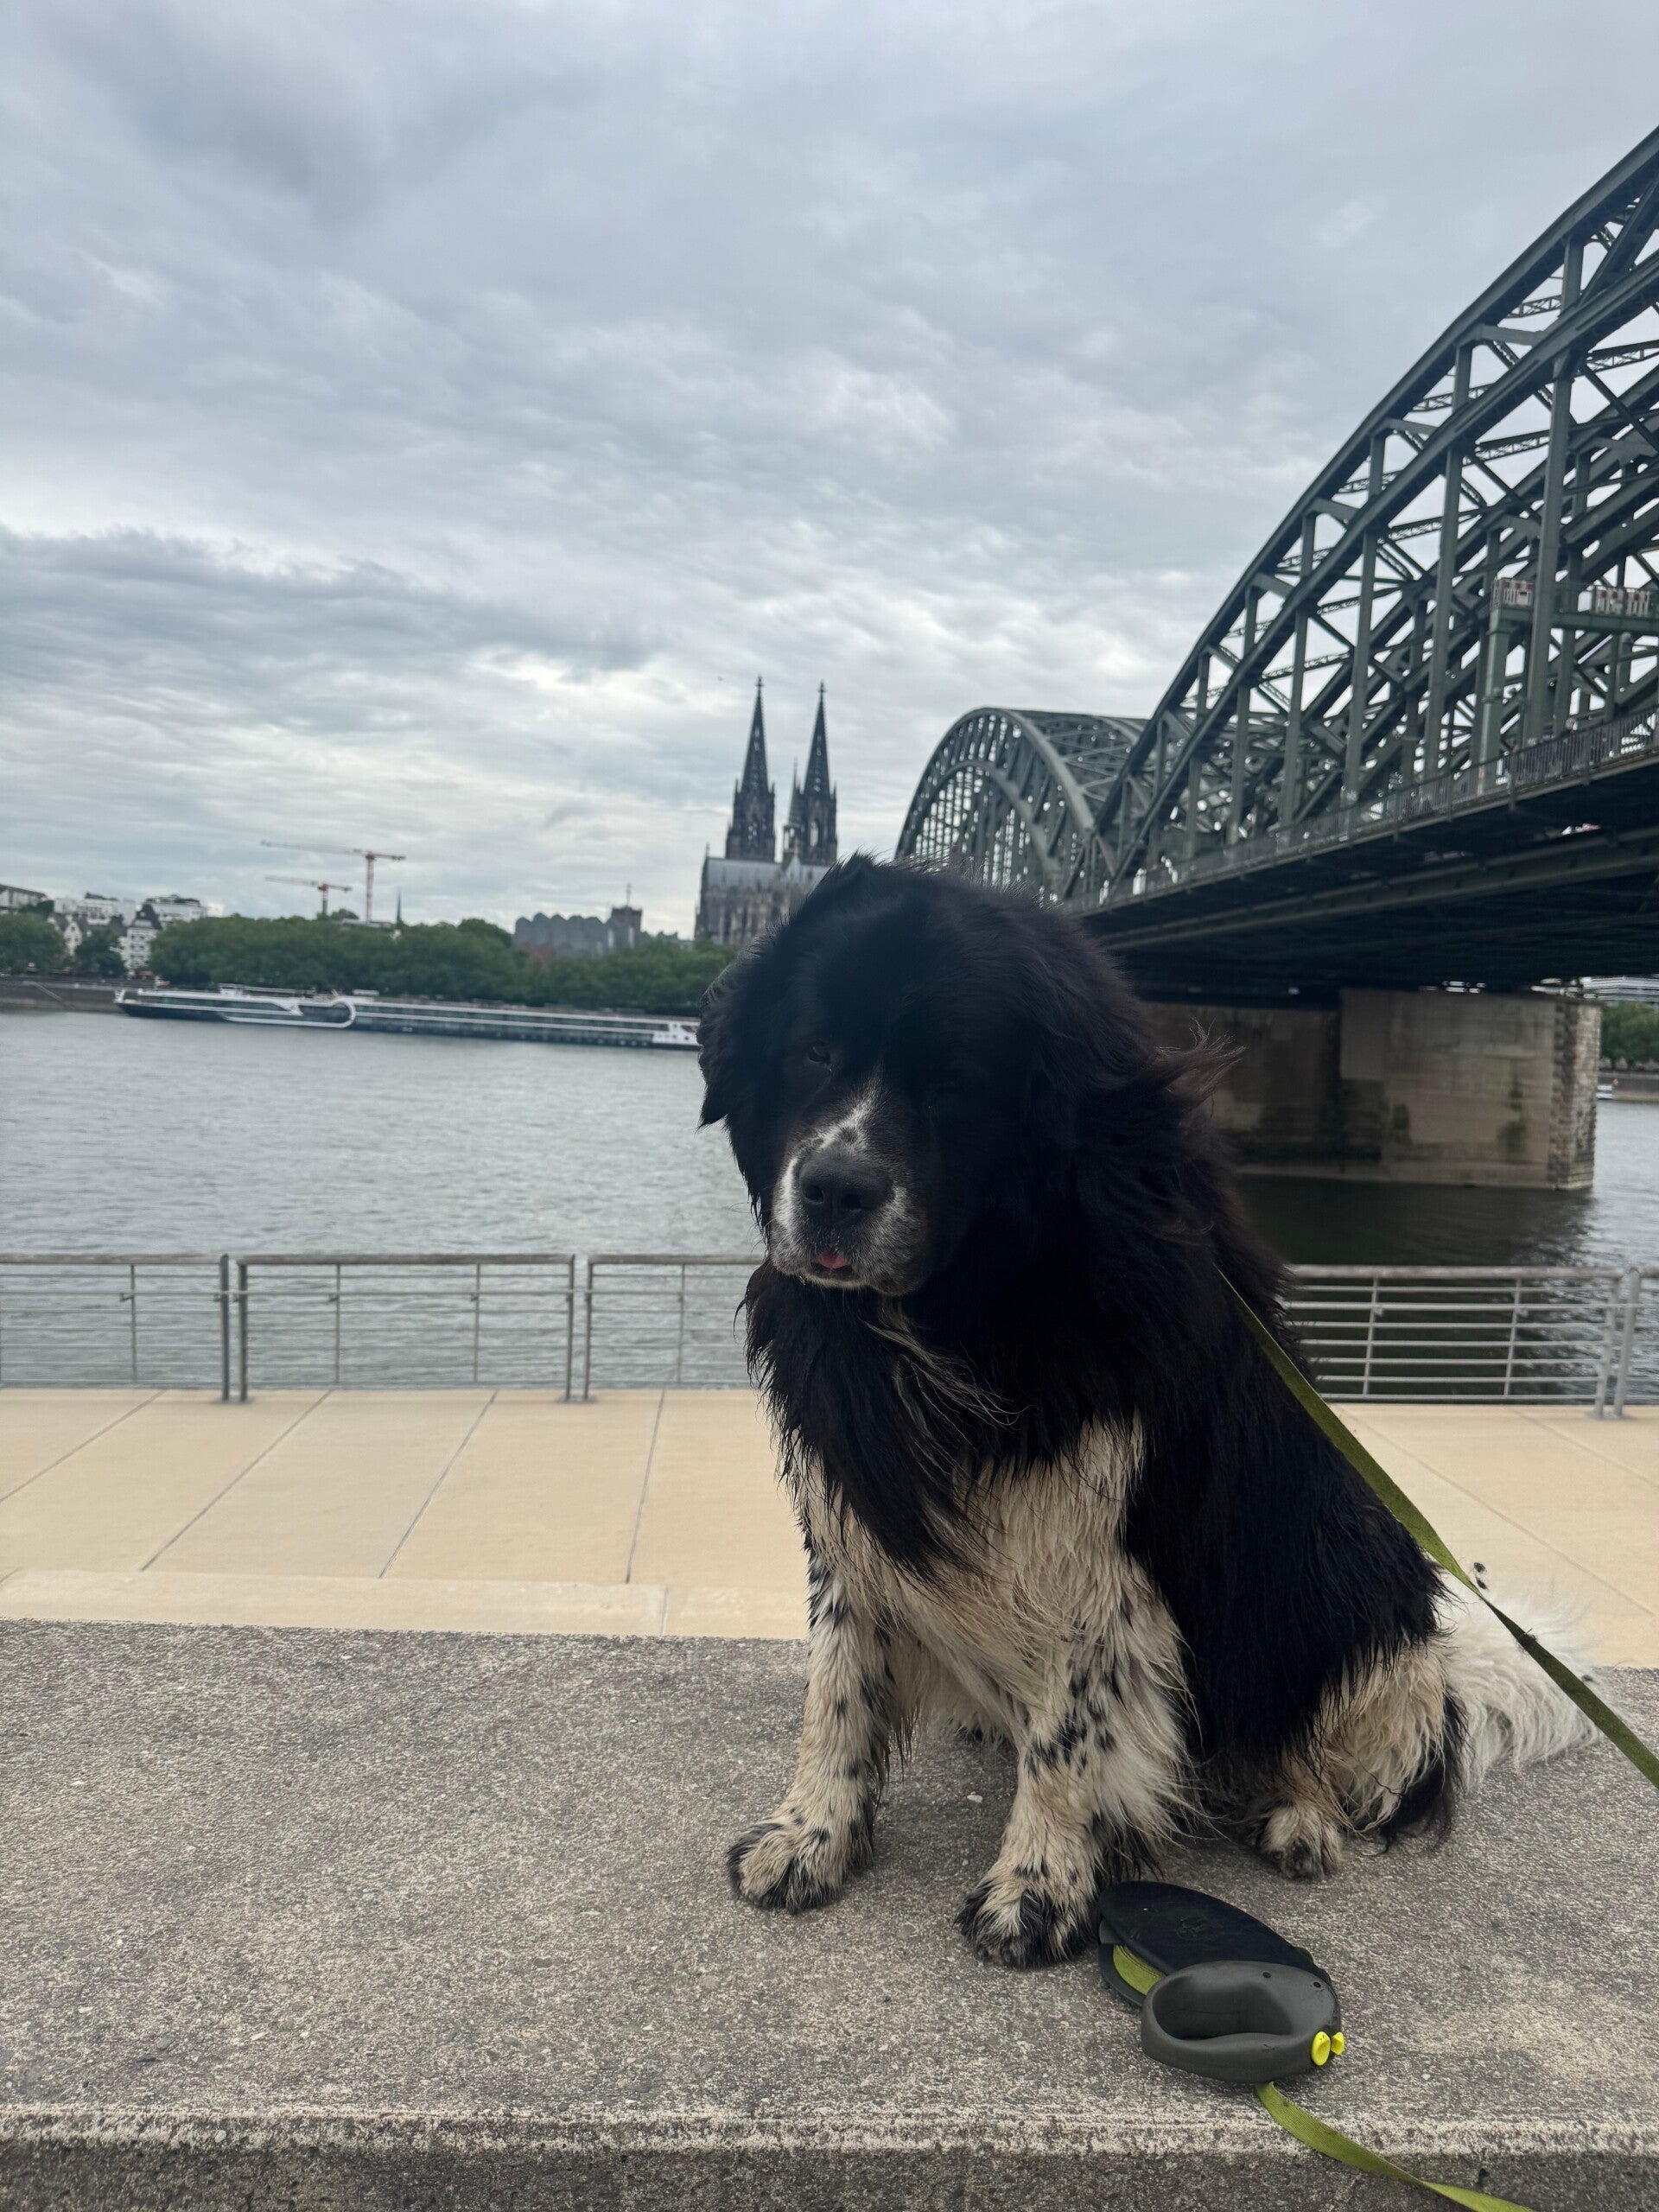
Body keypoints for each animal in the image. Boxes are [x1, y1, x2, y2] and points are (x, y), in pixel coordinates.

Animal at [697, 857, 1593, 1966]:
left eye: (957, 1082)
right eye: (813, 1048)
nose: (833, 1188)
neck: (965, 1310)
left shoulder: (1109, 1545)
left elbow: (1072, 1732)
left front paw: (1039, 1885)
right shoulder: (854, 1497)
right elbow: (838, 1687)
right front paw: (810, 1838)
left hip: (1349, 1577)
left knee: (1317, 1741)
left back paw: (1299, 1815)